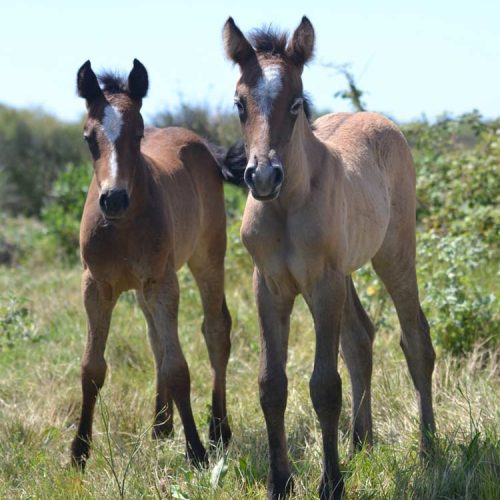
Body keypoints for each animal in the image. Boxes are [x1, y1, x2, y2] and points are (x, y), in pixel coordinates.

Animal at [225, 16, 436, 500]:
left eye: (295, 103)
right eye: (240, 104)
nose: (262, 176)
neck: (286, 206)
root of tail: (377, 119)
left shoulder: (323, 284)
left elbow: (324, 386)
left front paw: (331, 483)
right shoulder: (269, 286)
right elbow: (271, 384)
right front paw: (279, 482)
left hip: (394, 254)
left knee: (415, 340)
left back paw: (428, 449)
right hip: (348, 272)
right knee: (360, 337)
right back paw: (361, 442)